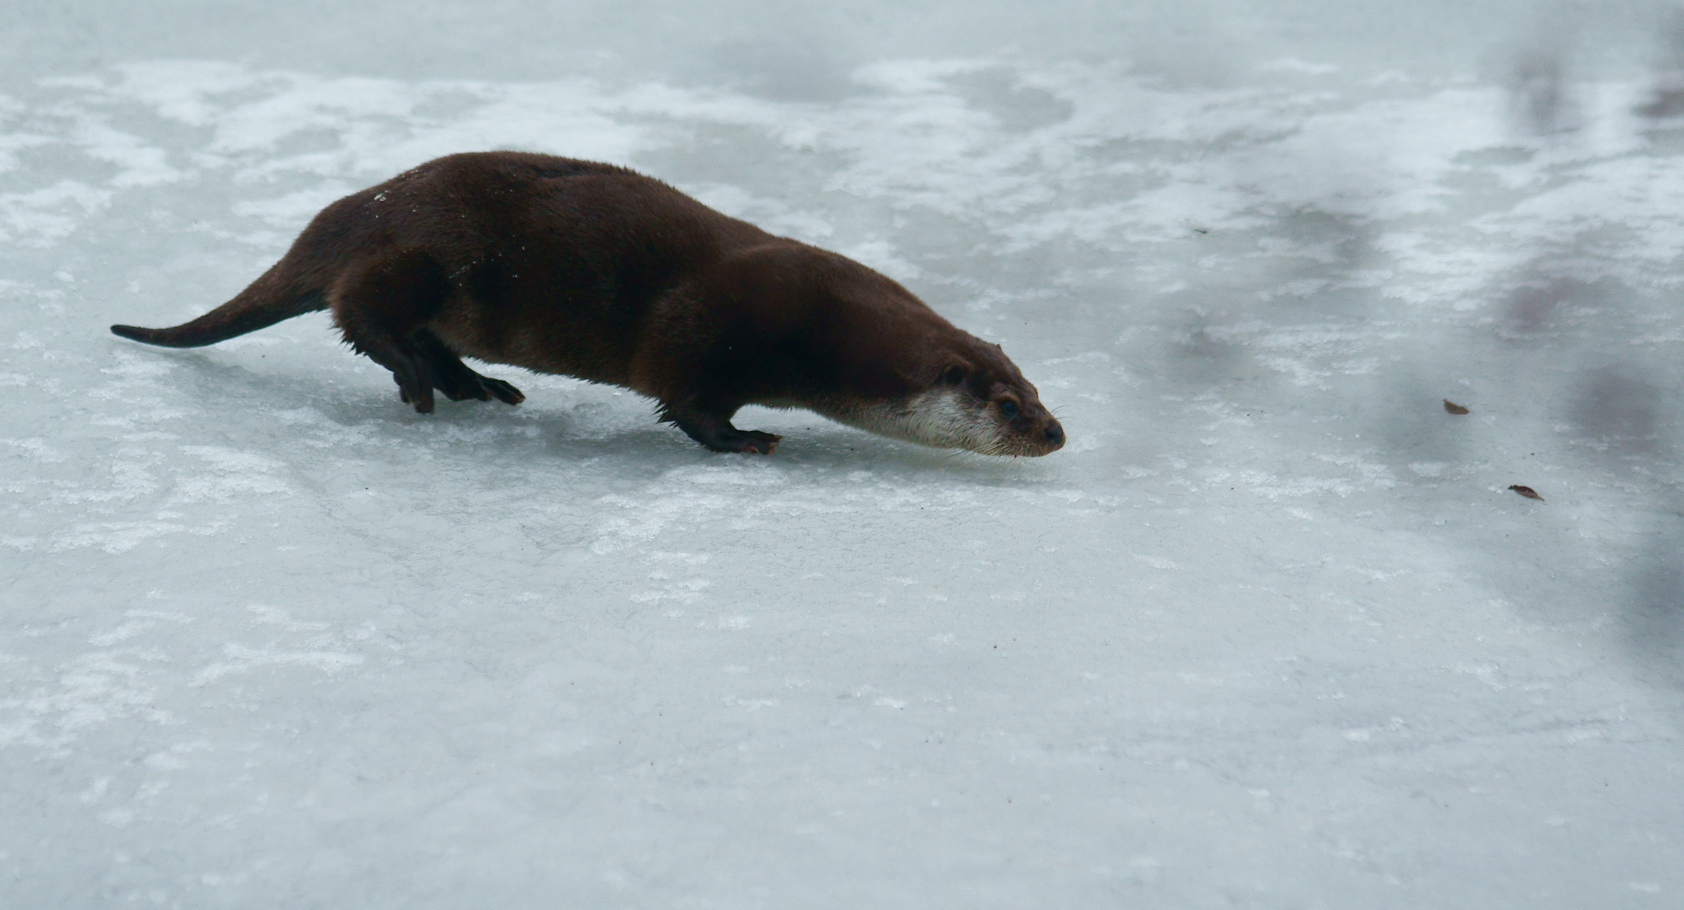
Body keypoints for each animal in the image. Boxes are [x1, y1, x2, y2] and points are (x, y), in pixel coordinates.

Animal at [111, 152, 1065, 457]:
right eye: (1008, 406)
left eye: (1037, 390)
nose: (1055, 433)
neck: (826, 328)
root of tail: (353, 209)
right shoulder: (707, 328)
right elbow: (686, 400)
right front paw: (748, 440)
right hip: (418, 254)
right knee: (360, 313)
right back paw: (422, 378)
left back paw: (477, 385)